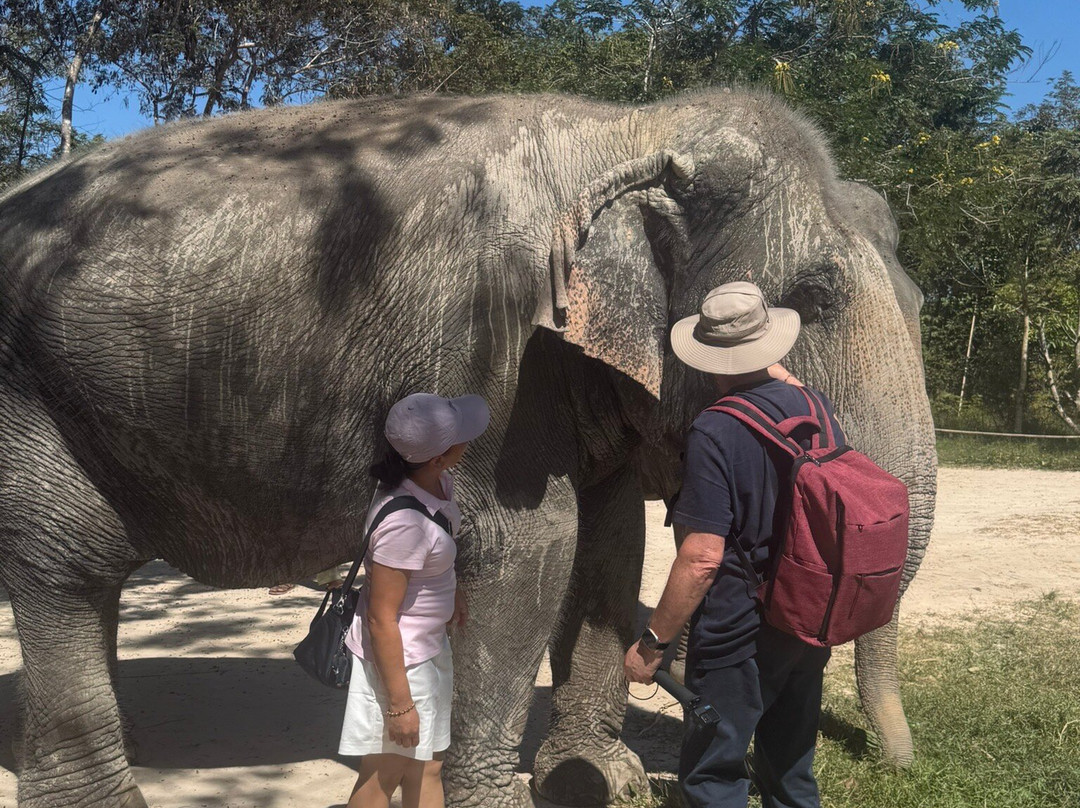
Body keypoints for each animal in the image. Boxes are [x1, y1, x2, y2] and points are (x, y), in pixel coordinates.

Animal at [0, 89, 936, 808]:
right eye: (810, 299)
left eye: (921, 300)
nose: (899, 763)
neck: (633, 129)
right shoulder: (493, 349)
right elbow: (530, 548)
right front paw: (509, 795)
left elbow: (607, 546)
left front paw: (597, 779)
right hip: (28, 397)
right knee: (67, 566)